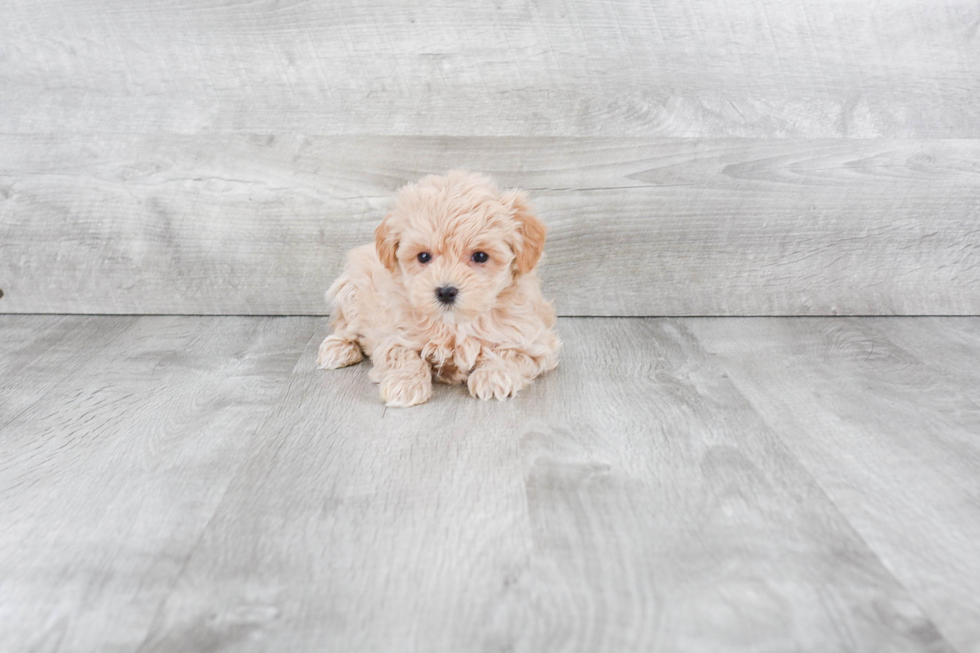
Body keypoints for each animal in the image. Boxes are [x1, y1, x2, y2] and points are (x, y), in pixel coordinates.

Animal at [320, 171, 560, 404]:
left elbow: (508, 354)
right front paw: (405, 383)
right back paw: (338, 349)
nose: (446, 291)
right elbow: (403, 354)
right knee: (344, 326)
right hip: (351, 290)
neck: (454, 324)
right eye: (423, 256)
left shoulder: (534, 342)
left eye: (480, 256)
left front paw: (493, 377)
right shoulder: (392, 334)